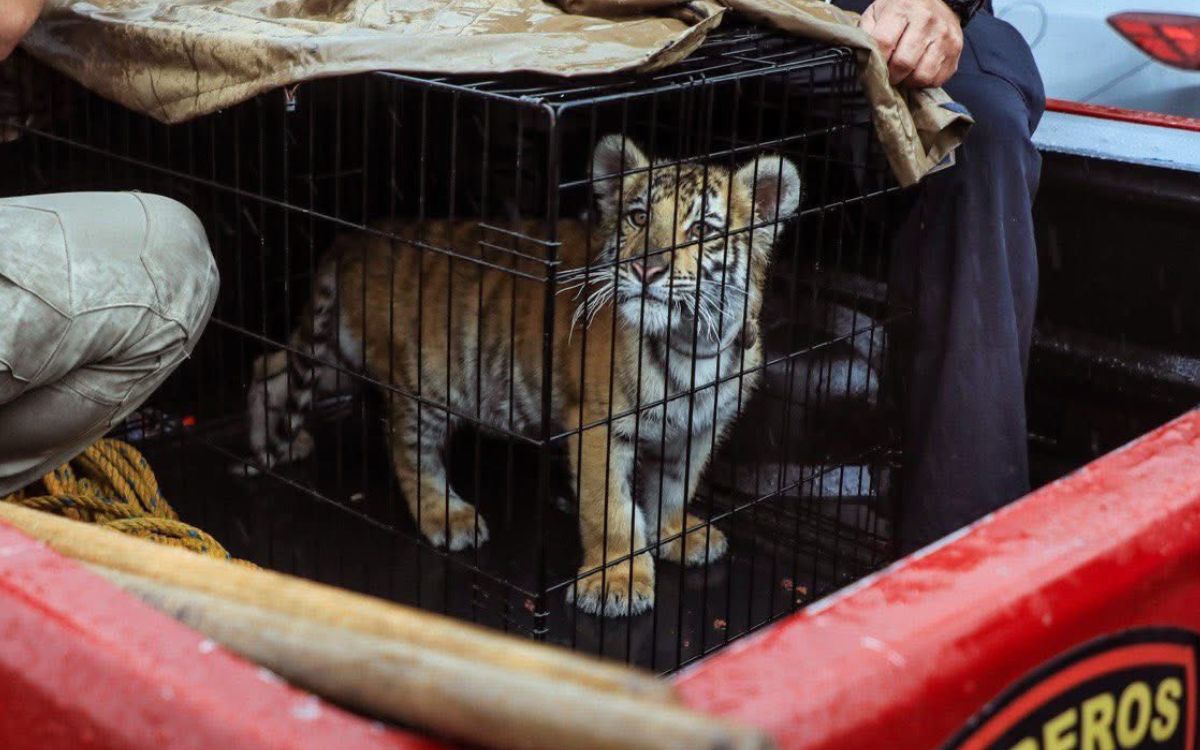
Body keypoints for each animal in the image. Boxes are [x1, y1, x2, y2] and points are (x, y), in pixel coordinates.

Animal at [245, 135, 802, 617]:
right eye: (638, 217)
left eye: (703, 230)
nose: (646, 271)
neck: (694, 341)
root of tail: (358, 236)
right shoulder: (599, 425)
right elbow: (610, 508)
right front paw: (615, 582)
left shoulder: (700, 428)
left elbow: (673, 486)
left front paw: (675, 534)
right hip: (422, 383)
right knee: (410, 453)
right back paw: (447, 516)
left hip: (338, 356)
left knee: (269, 366)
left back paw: (272, 443)